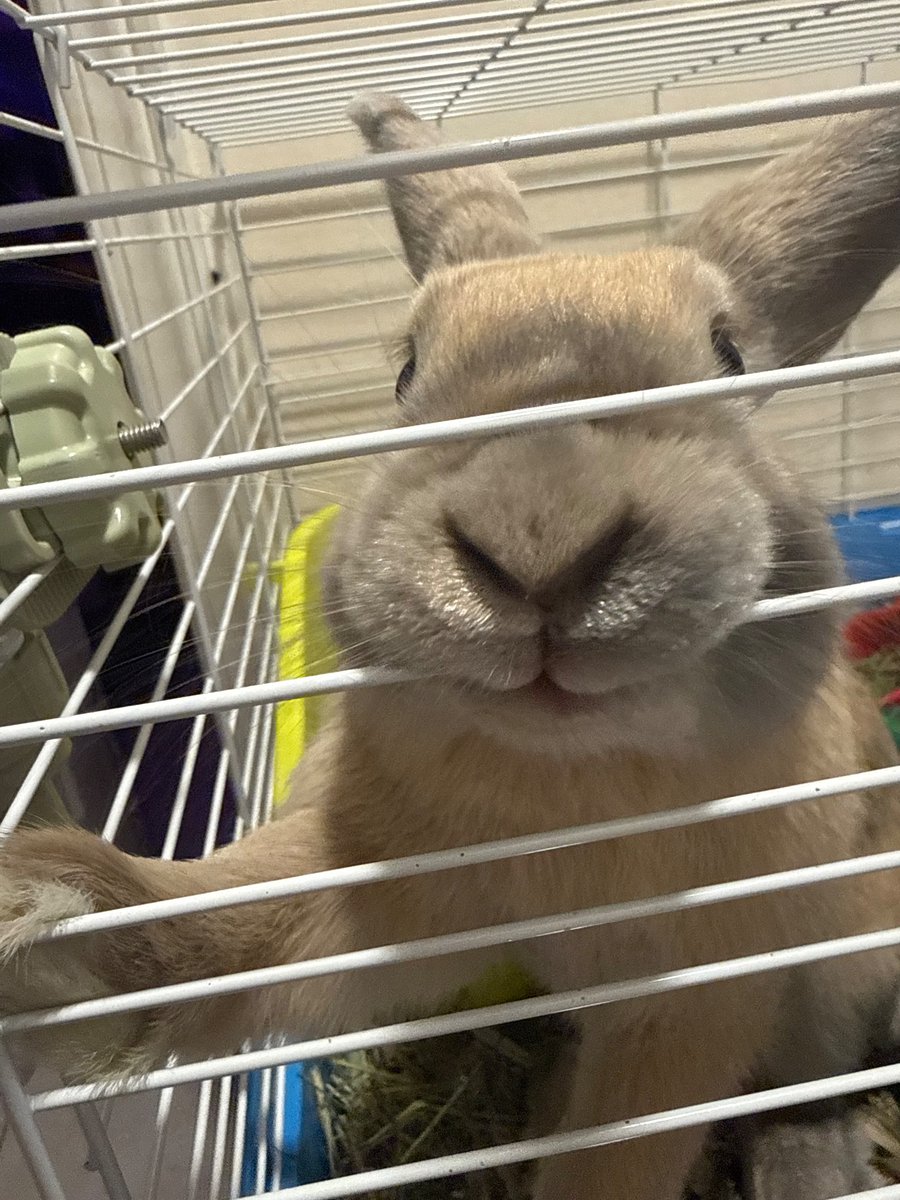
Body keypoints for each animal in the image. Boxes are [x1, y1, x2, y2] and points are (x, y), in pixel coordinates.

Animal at [2, 92, 900, 1200]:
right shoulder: (382, 889)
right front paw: (40, 915)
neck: (566, 782)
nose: (539, 542)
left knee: (813, 1071)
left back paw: (811, 1158)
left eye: (729, 357)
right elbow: (229, 927)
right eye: (405, 372)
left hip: (841, 971)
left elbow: (619, 1154)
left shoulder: (696, 1001)